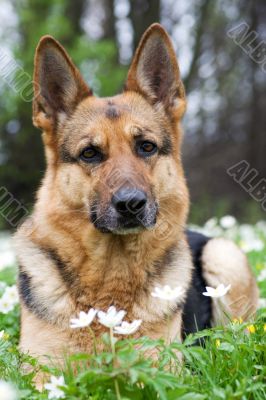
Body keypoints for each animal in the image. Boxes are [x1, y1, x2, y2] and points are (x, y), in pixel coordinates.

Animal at [14, 23, 258, 364]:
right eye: (90, 153)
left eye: (147, 147)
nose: (131, 204)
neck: (110, 278)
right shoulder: (42, 370)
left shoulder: (159, 367)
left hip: (224, 256)